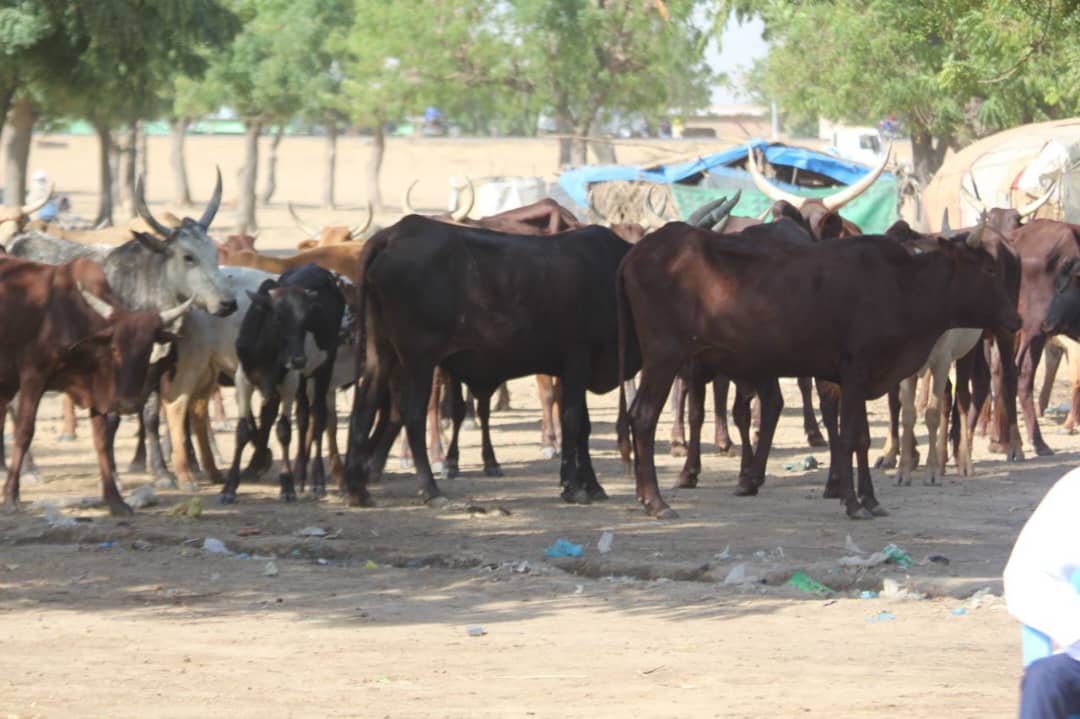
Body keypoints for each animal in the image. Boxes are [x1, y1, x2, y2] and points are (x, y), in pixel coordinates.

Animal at [0, 254, 190, 511]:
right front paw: (10, 494)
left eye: (148, 349)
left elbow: (102, 440)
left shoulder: (97, 391)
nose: (128, 405)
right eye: (115, 348)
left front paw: (115, 499)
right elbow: (24, 431)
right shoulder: (33, 375)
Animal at [223, 260, 345, 500]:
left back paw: (316, 481)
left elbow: (284, 430)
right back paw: (300, 476)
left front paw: (286, 485)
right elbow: (242, 431)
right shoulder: (244, 379)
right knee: (304, 416)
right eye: (278, 318)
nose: (298, 359)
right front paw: (230, 487)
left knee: (319, 417)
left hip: (323, 368)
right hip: (301, 381)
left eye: (306, 320)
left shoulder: (289, 381)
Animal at [617, 221, 1019, 518]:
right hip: (664, 356)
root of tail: (638, 251)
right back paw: (656, 501)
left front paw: (869, 499)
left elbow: (860, 437)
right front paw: (855, 503)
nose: (1015, 319)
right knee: (643, 417)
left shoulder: (858, 378)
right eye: (988, 269)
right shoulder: (856, 371)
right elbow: (852, 436)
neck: (902, 284)